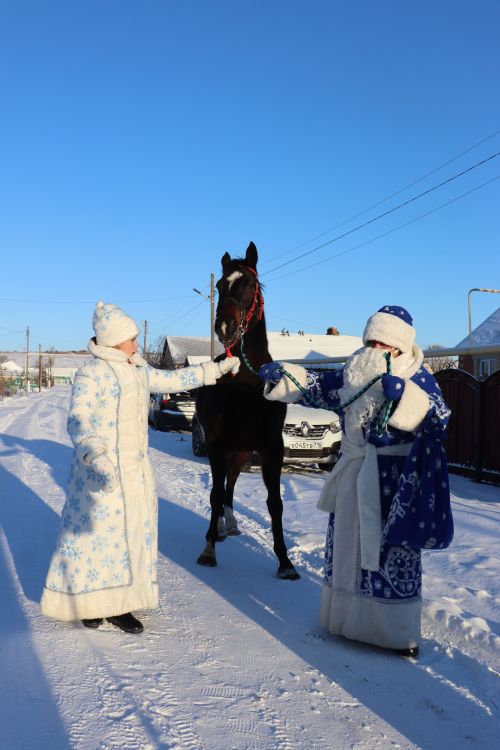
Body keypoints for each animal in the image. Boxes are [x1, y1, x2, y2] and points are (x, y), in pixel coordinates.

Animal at [195, 241, 300, 580]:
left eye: (250, 284)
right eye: (219, 285)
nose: (224, 326)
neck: (247, 385)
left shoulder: (271, 448)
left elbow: (275, 503)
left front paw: (285, 562)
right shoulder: (217, 444)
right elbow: (214, 494)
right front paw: (208, 549)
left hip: (242, 451)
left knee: (230, 483)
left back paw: (229, 524)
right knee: (221, 488)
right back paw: (219, 529)